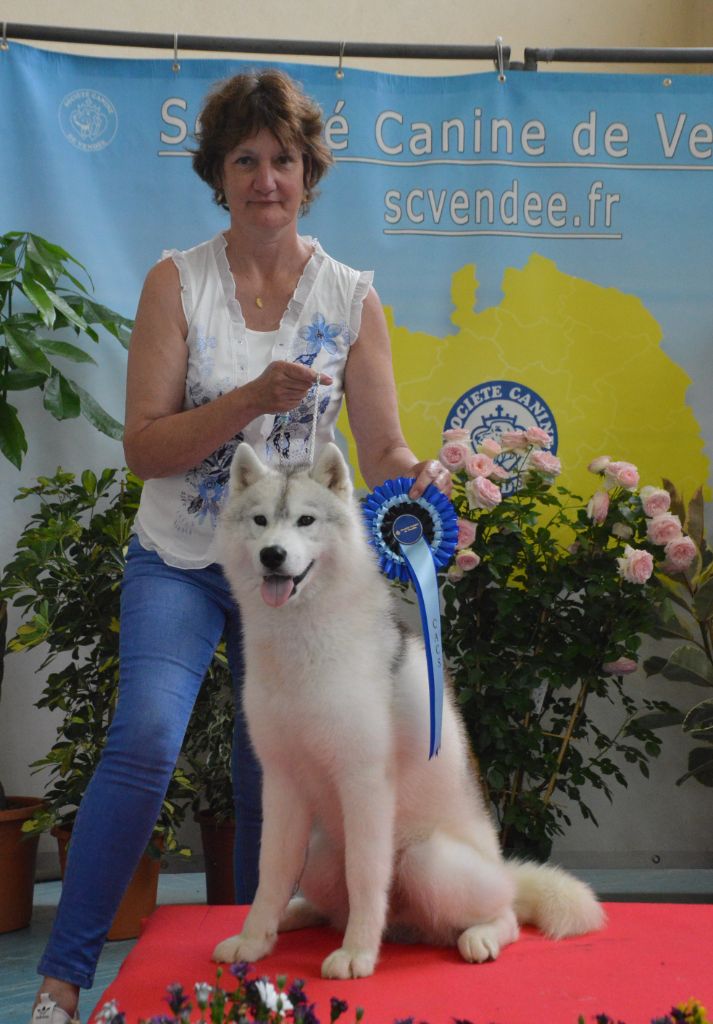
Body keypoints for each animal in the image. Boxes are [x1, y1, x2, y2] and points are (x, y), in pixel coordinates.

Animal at [214, 444, 602, 978]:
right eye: (260, 520)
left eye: (305, 520)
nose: (273, 554)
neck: (301, 645)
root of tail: (503, 869)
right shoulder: (282, 782)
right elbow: (270, 873)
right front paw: (255, 939)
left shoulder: (364, 783)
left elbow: (364, 876)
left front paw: (357, 953)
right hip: (320, 852)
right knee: (326, 902)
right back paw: (296, 915)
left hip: (428, 861)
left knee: (504, 914)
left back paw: (480, 935)